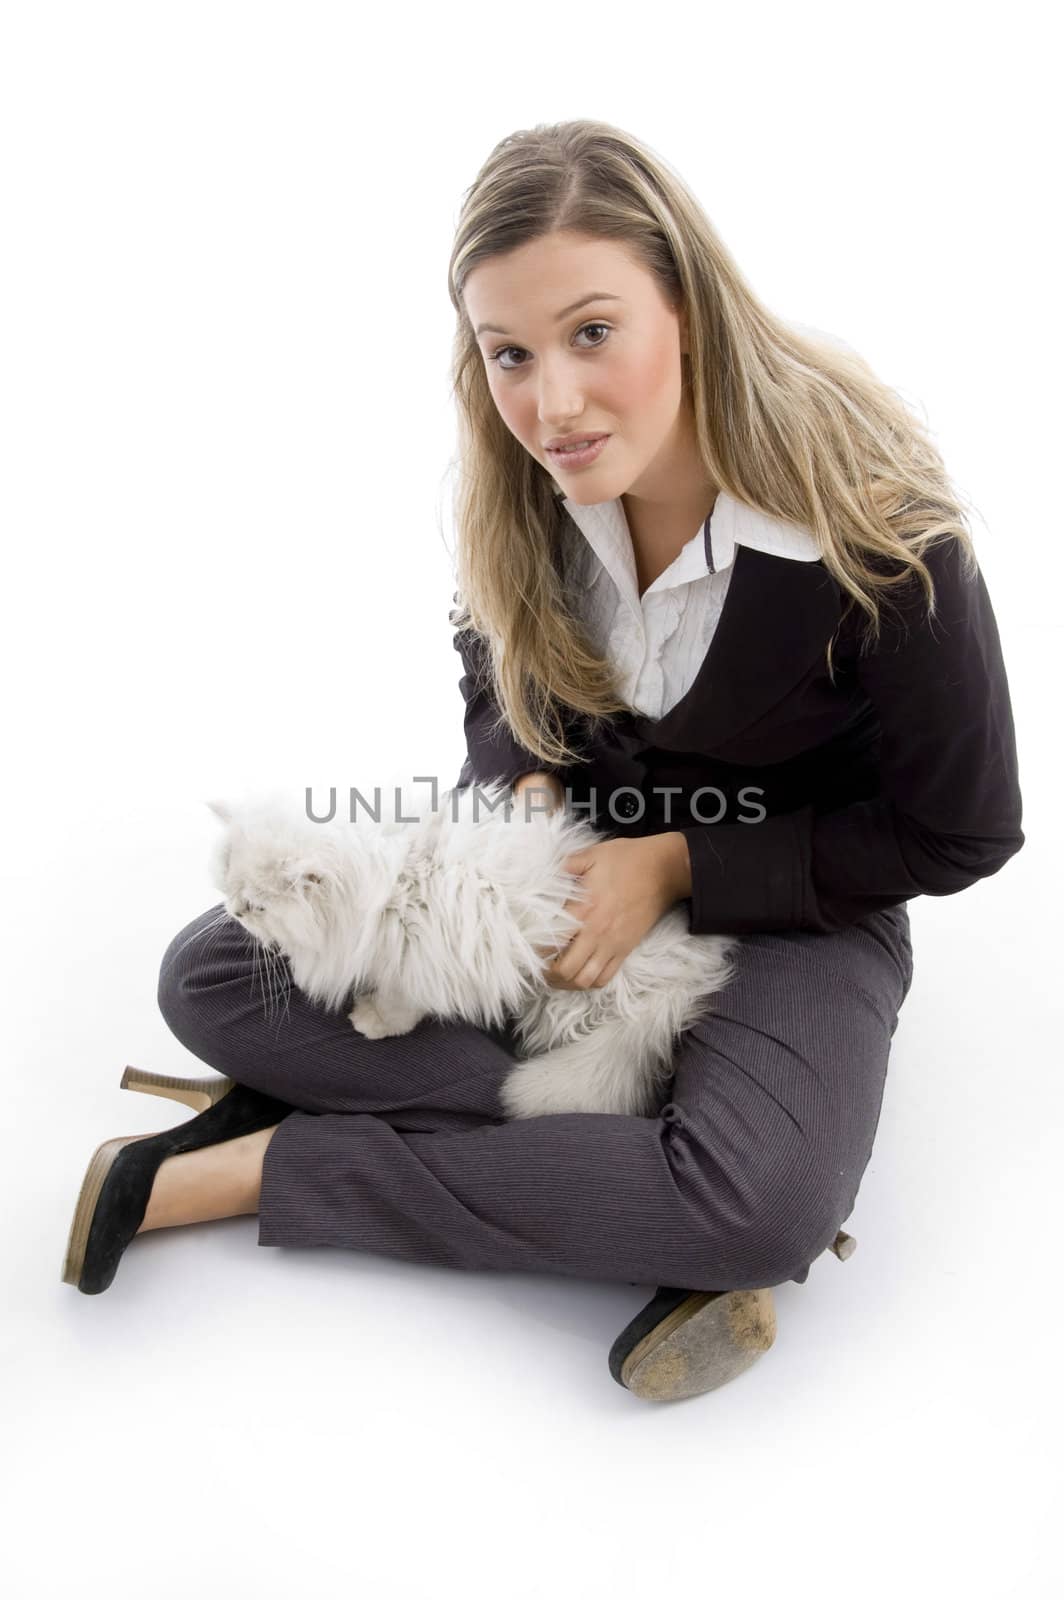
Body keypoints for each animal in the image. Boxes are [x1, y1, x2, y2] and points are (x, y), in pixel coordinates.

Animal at [204, 780, 739, 1120]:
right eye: (227, 877)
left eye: (257, 906)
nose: (233, 911)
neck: (386, 882)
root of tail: (684, 980)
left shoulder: (420, 957)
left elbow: (398, 1004)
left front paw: (371, 1021)